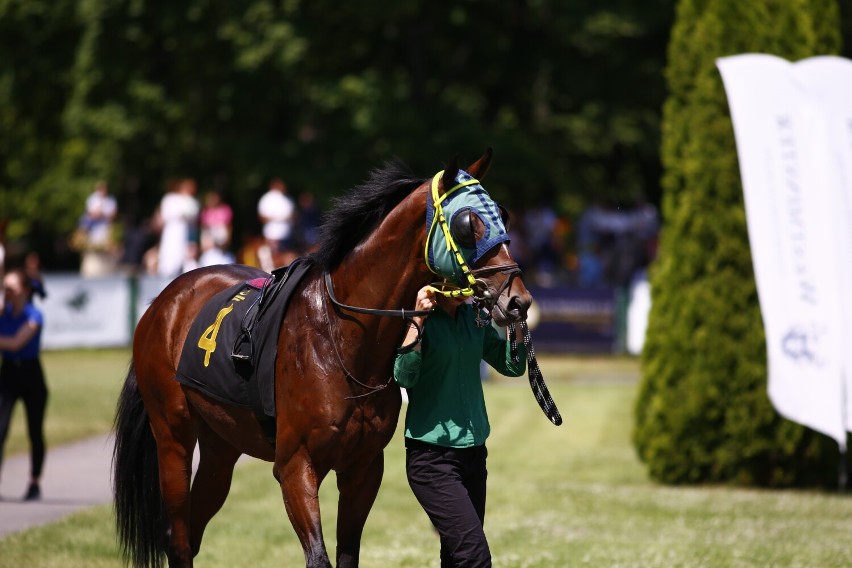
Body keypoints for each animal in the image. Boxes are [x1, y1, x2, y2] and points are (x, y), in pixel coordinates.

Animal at [110, 151, 528, 568]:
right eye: (468, 223)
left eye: (502, 216)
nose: (518, 301)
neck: (340, 341)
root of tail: (164, 301)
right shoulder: (295, 467)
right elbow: (318, 556)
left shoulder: (363, 467)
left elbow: (347, 554)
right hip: (173, 437)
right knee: (178, 538)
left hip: (220, 446)